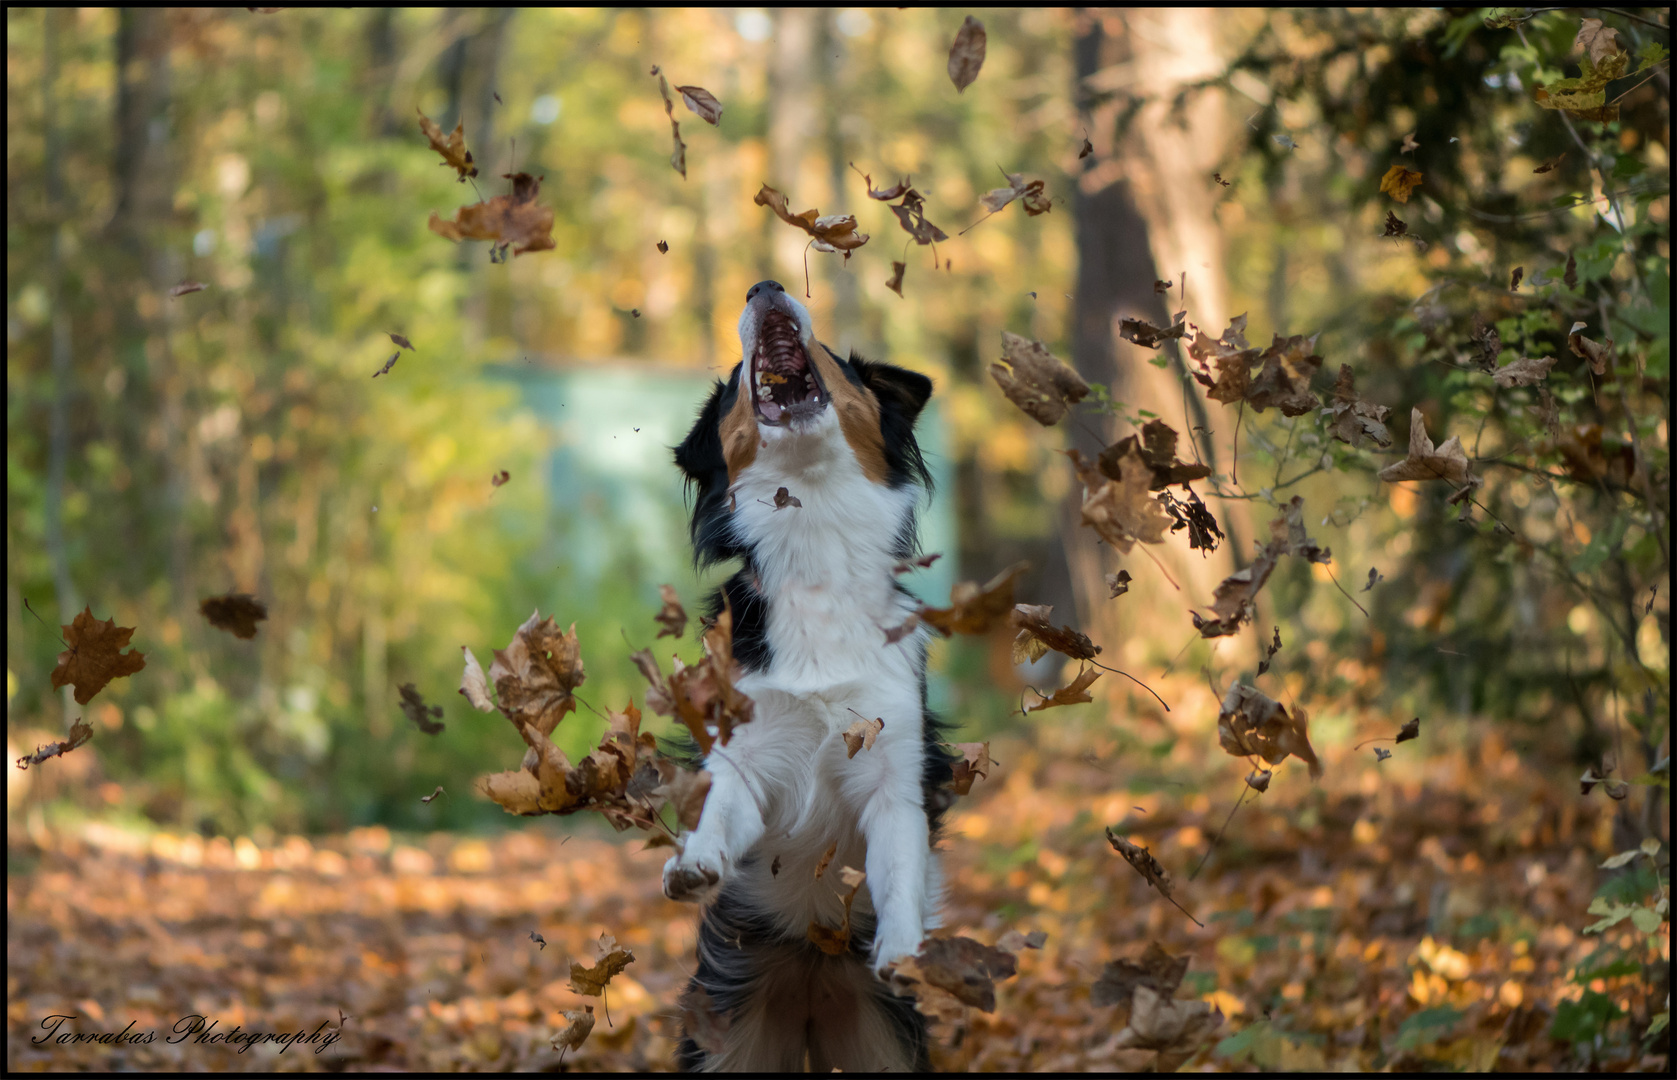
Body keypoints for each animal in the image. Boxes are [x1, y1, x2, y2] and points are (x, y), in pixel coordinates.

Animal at [667, 280, 959, 1073]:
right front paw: (694, 860)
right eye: (734, 381)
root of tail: (808, 969)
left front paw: (901, 947)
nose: (763, 285)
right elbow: (720, 810)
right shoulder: (746, 753)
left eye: (828, 350)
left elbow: (899, 866)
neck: (815, 542)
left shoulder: (893, 771)